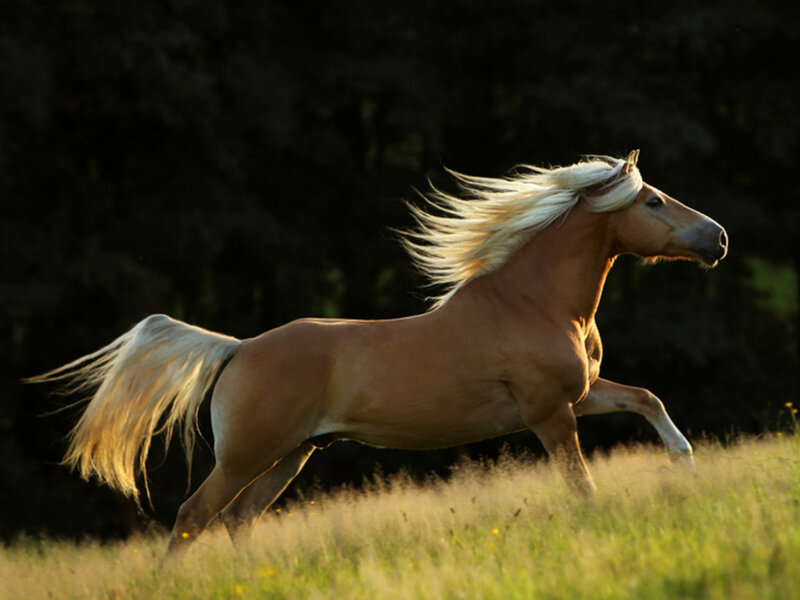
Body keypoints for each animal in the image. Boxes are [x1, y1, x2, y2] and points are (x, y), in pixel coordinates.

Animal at [30, 151, 727, 563]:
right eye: (652, 201)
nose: (717, 237)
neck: (534, 302)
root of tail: (238, 349)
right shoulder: (549, 414)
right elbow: (582, 487)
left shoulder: (579, 395)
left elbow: (646, 398)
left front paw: (686, 463)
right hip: (247, 455)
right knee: (194, 516)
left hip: (293, 453)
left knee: (238, 519)